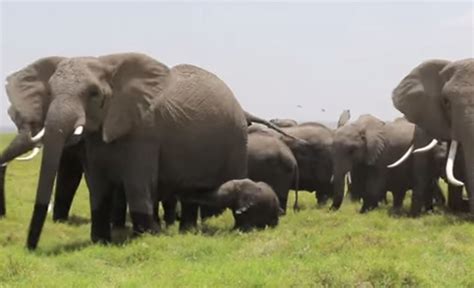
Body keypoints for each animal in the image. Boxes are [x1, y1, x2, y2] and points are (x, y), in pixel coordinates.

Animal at [3, 53, 290, 250]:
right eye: (49, 93)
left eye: (94, 94)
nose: (30, 246)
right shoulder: (95, 140)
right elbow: (97, 185)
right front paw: (100, 241)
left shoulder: (145, 131)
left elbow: (137, 182)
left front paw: (149, 236)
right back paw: (186, 230)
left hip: (236, 140)